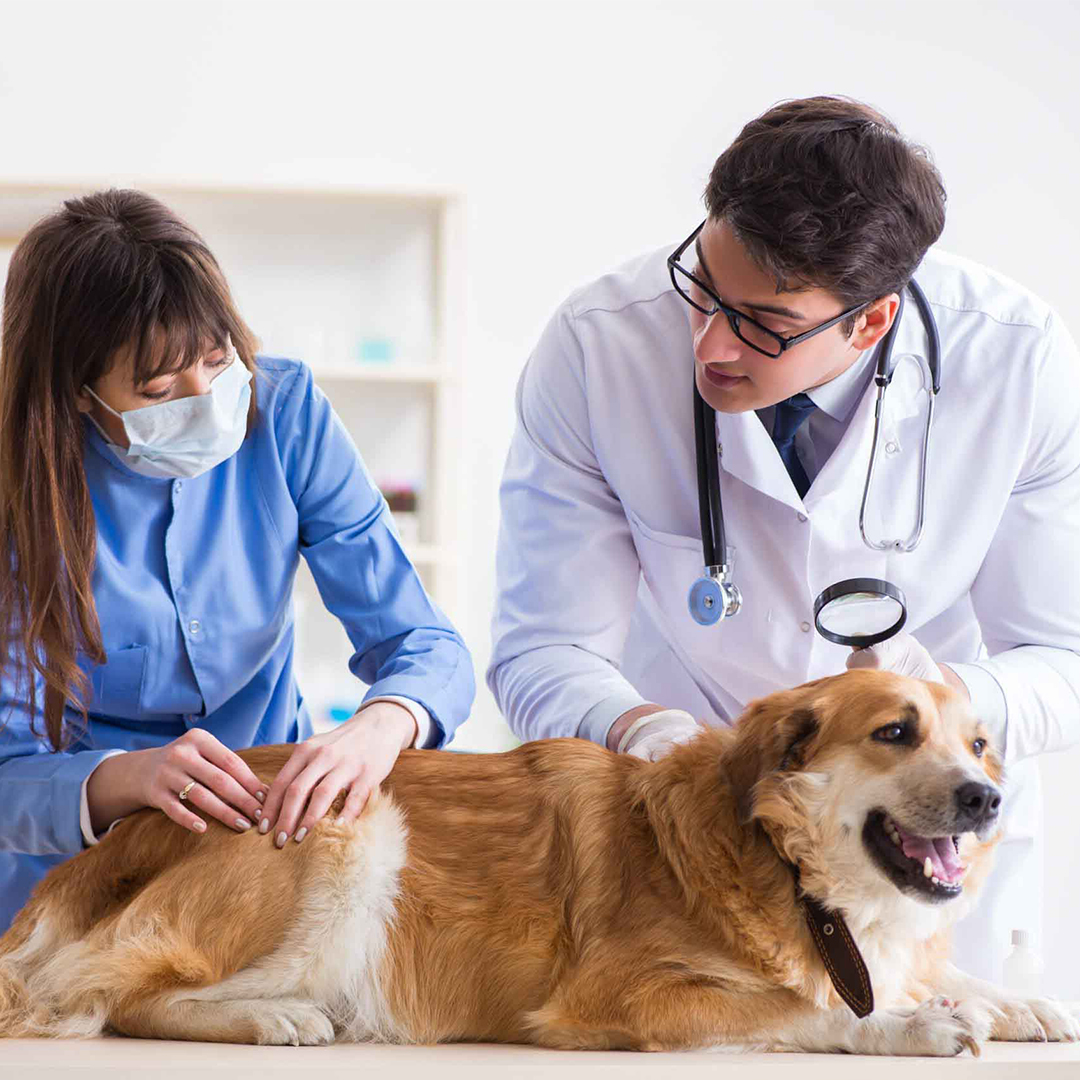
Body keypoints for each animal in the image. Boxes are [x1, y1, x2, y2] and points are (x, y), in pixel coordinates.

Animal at [2, 669, 1080, 1049]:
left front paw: (1006, 999)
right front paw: (905, 1025)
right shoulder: (615, 1000)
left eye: (979, 745)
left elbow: (930, 973)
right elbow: (800, 1008)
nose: (985, 799)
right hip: (352, 825)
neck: (786, 866)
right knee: (111, 993)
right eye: (896, 732)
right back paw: (276, 1016)